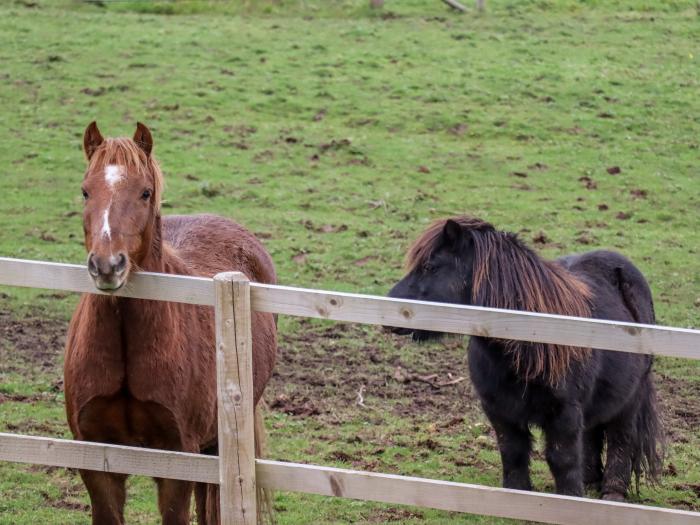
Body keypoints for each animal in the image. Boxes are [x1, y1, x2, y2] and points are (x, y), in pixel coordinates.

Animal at [392, 215, 664, 498]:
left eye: (430, 266)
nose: (393, 307)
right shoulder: (499, 410)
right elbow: (513, 454)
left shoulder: (565, 413)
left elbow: (562, 459)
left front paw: (571, 497)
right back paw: (590, 482)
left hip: (630, 398)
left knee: (621, 437)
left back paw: (612, 492)